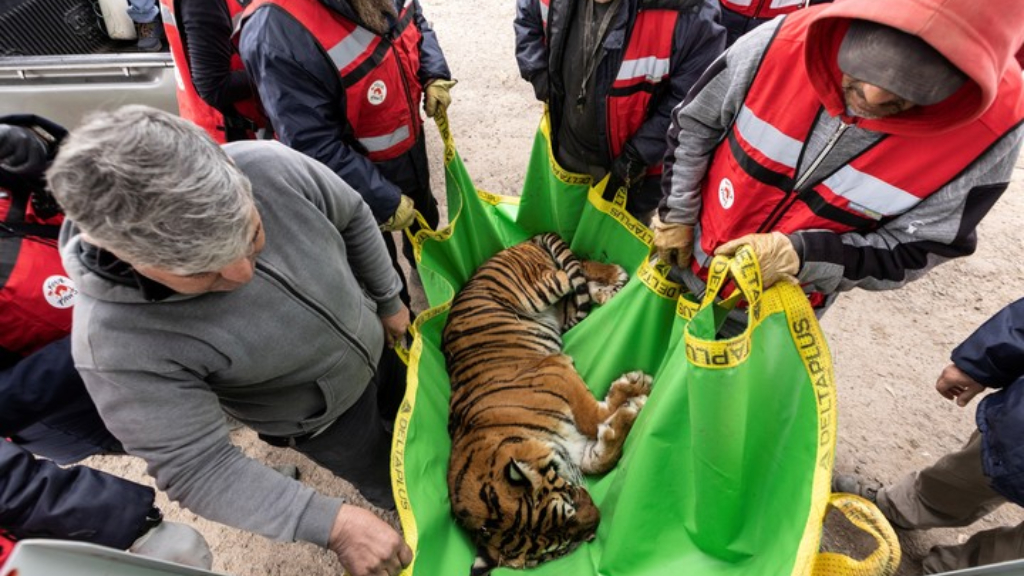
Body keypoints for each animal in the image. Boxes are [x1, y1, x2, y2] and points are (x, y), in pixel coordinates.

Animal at [442, 232, 653, 575]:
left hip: (537, 289)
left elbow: (592, 417)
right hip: (558, 307)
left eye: (568, 503)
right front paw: (627, 408)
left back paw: (613, 276)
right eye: (560, 547)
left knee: (569, 269)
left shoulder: (556, 368)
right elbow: (601, 456)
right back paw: (608, 289)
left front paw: (635, 386)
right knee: (577, 281)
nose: (596, 525)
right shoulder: (576, 449)